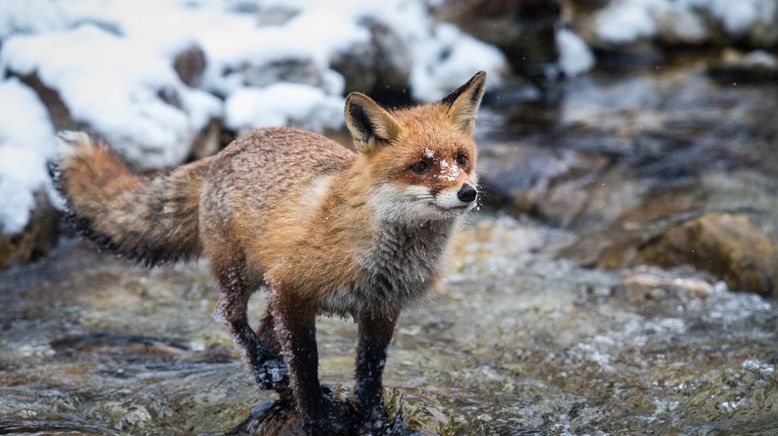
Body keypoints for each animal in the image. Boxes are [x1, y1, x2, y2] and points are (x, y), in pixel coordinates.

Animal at [56, 71, 484, 432]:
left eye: (461, 159)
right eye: (421, 166)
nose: (468, 192)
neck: (383, 253)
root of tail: (228, 148)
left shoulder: (382, 308)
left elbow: (369, 372)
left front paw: (373, 419)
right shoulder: (292, 288)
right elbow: (305, 365)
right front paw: (316, 420)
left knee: (262, 332)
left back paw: (277, 384)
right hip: (241, 273)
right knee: (229, 316)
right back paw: (267, 372)